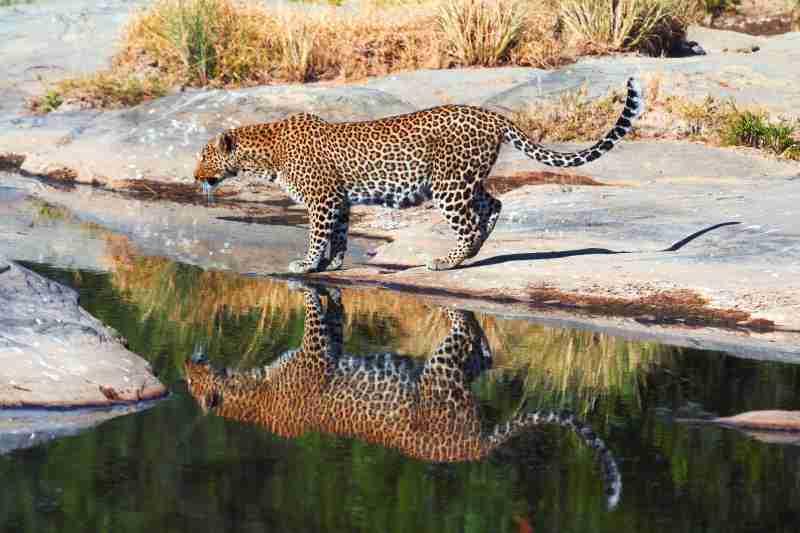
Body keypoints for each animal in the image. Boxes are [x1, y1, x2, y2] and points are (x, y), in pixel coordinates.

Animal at [186, 282, 624, 508]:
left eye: (191, 383)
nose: (187, 362)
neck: (251, 390)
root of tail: (474, 447)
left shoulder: (315, 350)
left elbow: (314, 312)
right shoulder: (328, 346)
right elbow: (335, 316)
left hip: (438, 376)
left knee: (462, 337)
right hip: (456, 377)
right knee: (481, 354)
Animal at [194, 78, 644, 274]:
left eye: (202, 155)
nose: (195, 174)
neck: (265, 153)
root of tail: (492, 116)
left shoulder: (322, 199)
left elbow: (317, 234)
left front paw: (306, 264)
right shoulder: (339, 200)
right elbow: (339, 234)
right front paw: (333, 264)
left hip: (448, 185)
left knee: (470, 220)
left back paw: (448, 260)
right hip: (463, 180)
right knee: (494, 204)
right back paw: (475, 250)